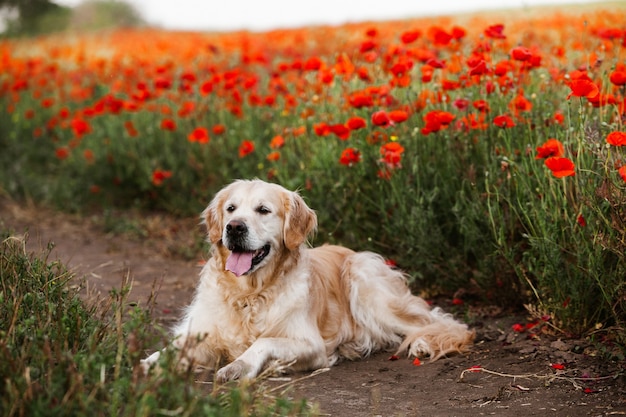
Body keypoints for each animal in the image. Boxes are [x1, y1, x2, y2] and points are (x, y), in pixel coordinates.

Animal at [143, 179, 472, 380]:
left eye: (263, 210)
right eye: (230, 209)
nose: (234, 227)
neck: (249, 295)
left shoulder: (310, 343)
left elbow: (264, 341)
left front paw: (240, 365)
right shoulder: (202, 333)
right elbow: (171, 350)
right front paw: (146, 364)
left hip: (365, 285)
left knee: (444, 324)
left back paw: (422, 343)